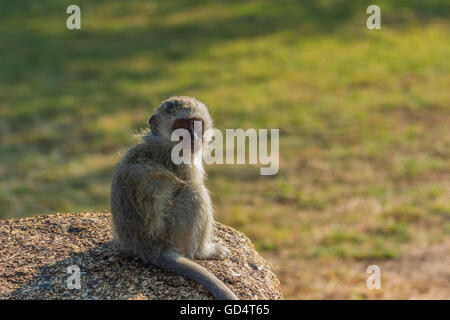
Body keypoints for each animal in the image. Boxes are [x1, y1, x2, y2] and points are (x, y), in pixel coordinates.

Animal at [110, 95, 239, 300]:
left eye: (196, 124)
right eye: (181, 125)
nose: (194, 137)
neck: (166, 143)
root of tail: (146, 247)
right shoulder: (184, 164)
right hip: (172, 231)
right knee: (195, 195)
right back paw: (202, 252)